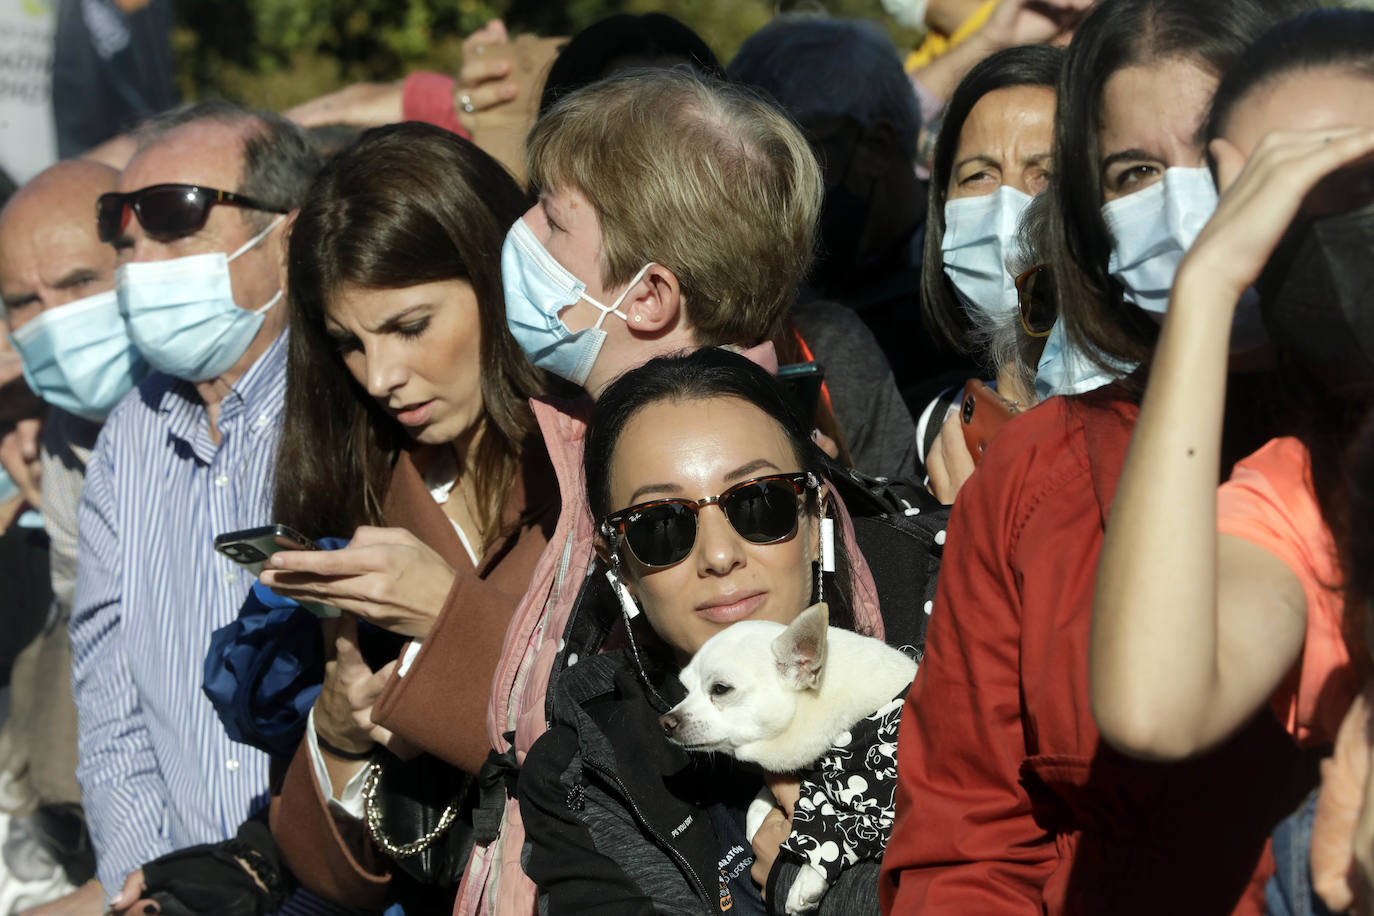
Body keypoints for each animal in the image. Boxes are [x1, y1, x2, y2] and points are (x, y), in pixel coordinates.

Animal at [659, 604, 917, 911]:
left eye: (720, 689)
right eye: (686, 691)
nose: (665, 721)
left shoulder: (884, 810)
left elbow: (835, 827)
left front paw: (809, 878)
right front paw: (759, 811)